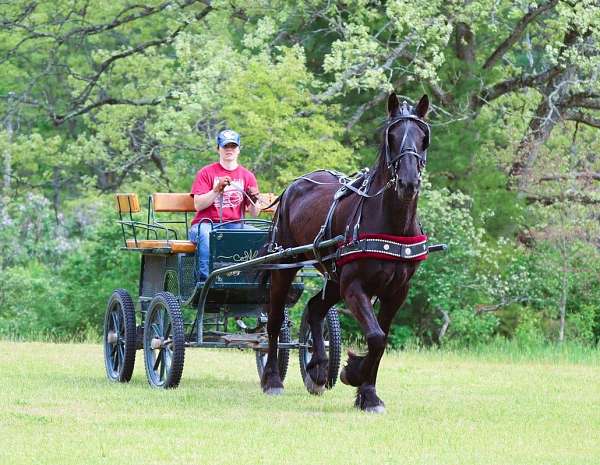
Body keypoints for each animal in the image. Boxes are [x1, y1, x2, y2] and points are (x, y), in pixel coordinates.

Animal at [260, 92, 428, 412]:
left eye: (423, 137)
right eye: (391, 136)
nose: (408, 182)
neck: (390, 224)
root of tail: (292, 187)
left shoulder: (396, 291)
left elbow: (381, 339)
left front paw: (367, 391)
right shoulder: (355, 286)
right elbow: (375, 337)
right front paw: (355, 375)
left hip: (334, 279)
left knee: (315, 308)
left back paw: (318, 368)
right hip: (285, 265)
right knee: (274, 320)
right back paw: (272, 379)